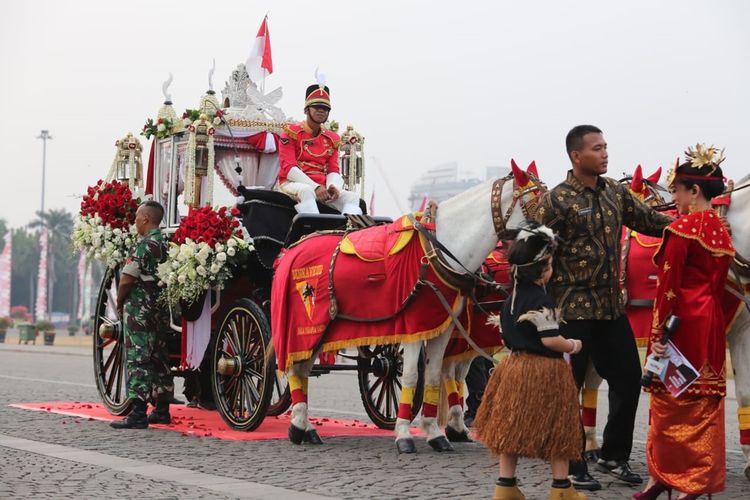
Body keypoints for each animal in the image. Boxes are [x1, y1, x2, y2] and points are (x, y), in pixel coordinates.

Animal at [274, 162, 544, 452]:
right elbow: (413, 377)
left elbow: (436, 375)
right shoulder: (414, 328)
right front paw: (404, 433)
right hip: (304, 330)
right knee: (295, 368)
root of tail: (292, 249)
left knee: (302, 369)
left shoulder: (443, 329)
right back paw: (300, 425)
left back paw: (303, 427)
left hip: (320, 332)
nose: (553, 245)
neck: (437, 252)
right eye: (537, 201)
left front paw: (435, 433)